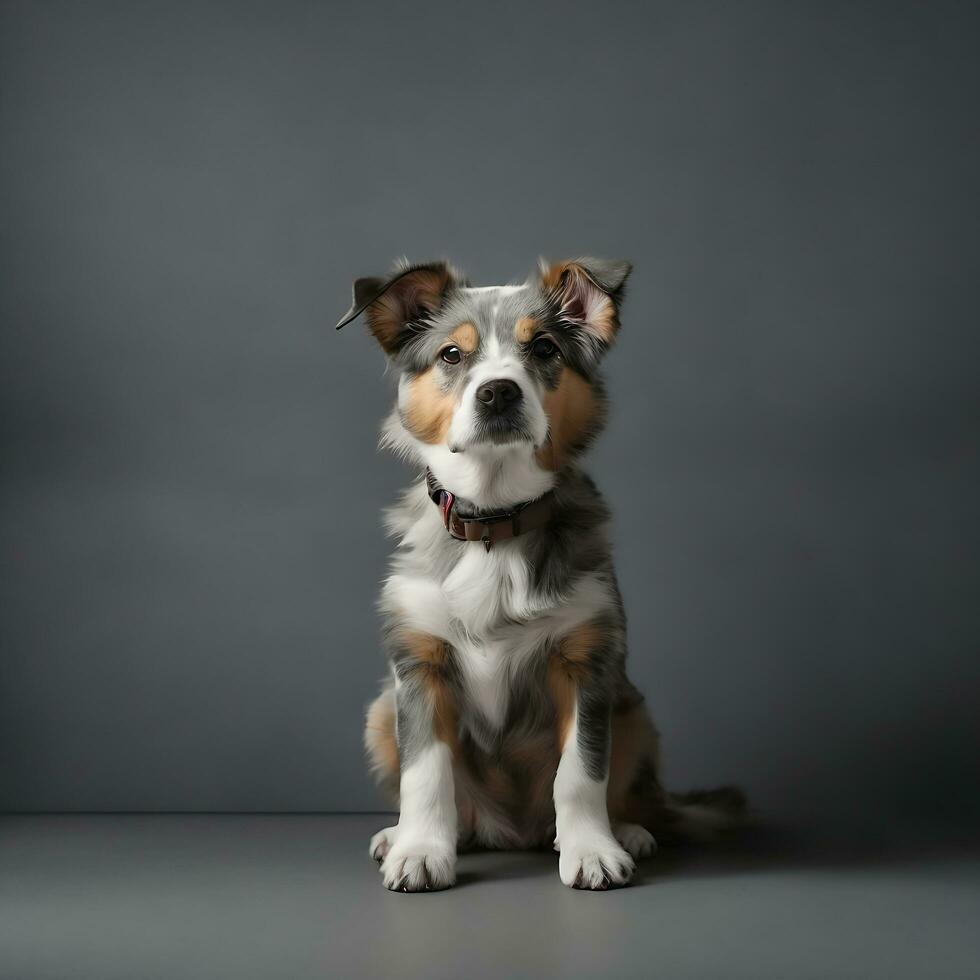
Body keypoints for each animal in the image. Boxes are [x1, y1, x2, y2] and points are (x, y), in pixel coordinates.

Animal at [336, 256, 744, 892]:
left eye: (545, 348)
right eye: (451, 354)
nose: (498, 391)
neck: (494, 523)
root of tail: (512, 831)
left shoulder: (586, 663)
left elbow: (581, 772)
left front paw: (592, 851)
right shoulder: (418, 664)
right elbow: (426, 773)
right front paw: (421, 850)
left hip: (635, 712)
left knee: (635, 795)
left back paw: (627, 831)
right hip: (381, 709)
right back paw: (411, 835)